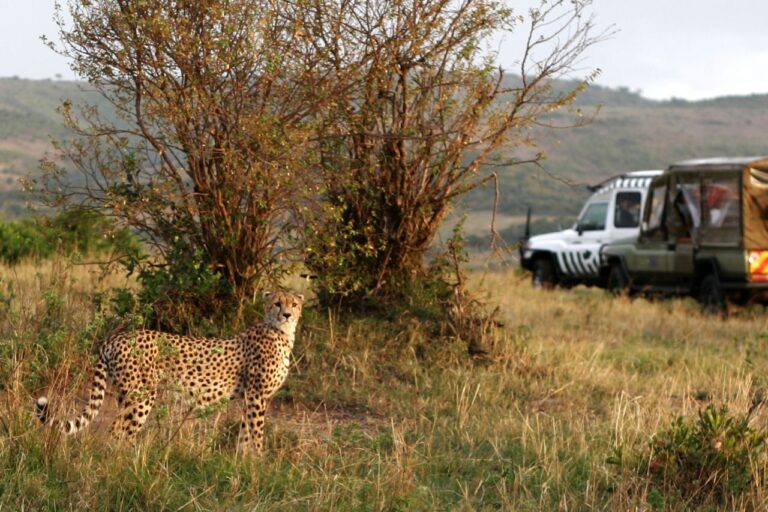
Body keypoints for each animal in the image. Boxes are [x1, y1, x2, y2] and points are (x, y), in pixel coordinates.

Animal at [36, 290, 304, 454]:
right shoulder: (257, 395)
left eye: (294, 303)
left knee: (117, 429)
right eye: (277, 303)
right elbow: (256, 433)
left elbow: (245, 433)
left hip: (126, 395)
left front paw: (242, 463)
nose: (287, 314)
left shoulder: (250, 397)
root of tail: (116, 337)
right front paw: (258, 462)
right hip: (142, 395)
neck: (281, 332)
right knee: (120, 432)